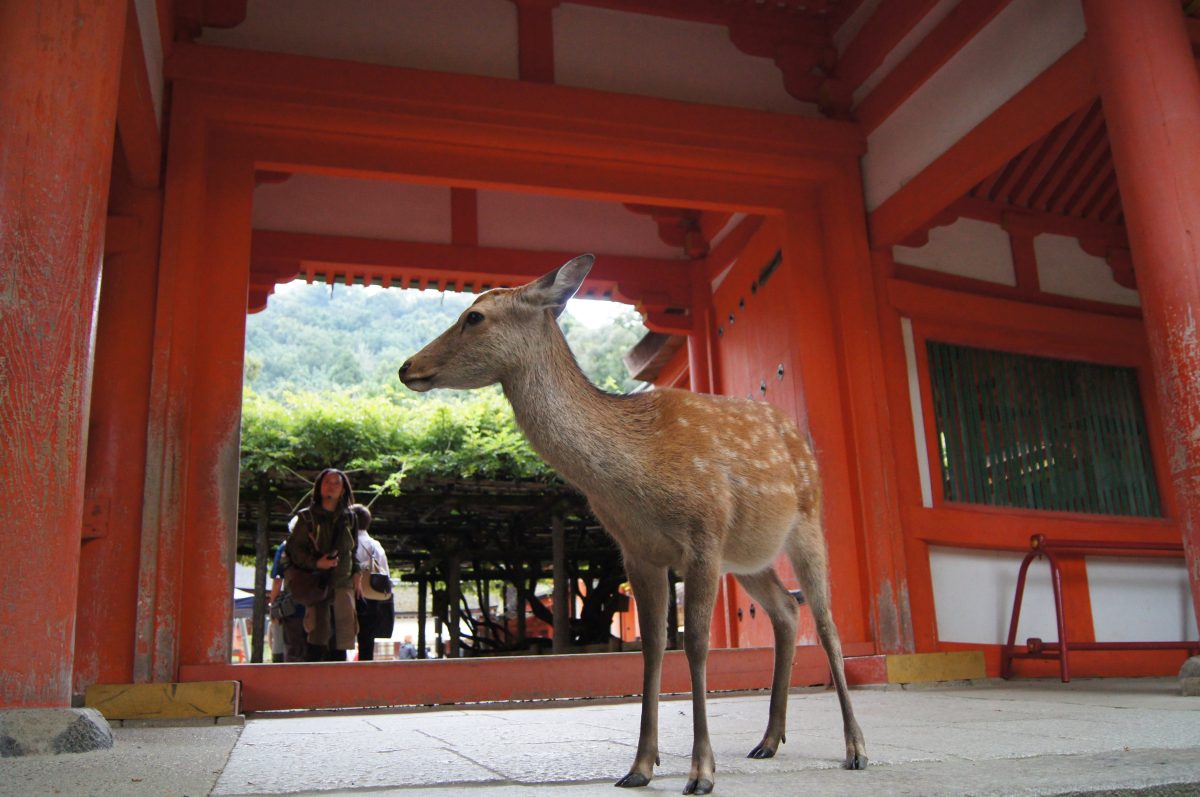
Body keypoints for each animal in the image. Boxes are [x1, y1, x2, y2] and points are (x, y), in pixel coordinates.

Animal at [399, 254, 866, 795]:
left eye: (473, 316)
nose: (407, 366)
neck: (636, 474)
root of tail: (800, 437)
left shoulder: (703, 533)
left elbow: (697, 644)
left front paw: (701, 772)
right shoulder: (637, 550)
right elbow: (652, 648)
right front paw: (640, 767)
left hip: (806, 522)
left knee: (826, 622)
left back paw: (856, 748)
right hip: (747, 557)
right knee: (787, 611)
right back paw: (768, 741)